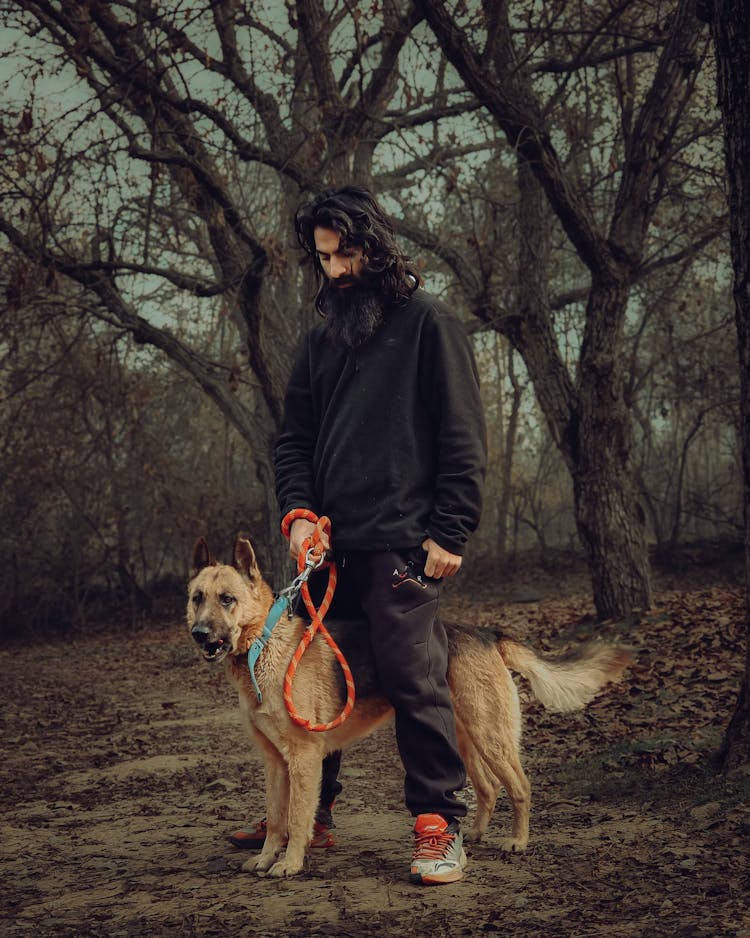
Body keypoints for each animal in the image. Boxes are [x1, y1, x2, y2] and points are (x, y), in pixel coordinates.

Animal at [188, 532, 636, 876]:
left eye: (227, 599)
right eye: (197, 598)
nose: (198, 635)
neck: (263, 646)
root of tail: (486, 633)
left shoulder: (303, 758)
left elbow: (298, 819)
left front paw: (290, 864)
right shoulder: (275, 763)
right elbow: (277, 820)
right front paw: (266, 858)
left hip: (490, 736)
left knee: (520, 786)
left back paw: (517, 841)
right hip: (465, 740)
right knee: (489, 788)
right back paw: (474, 834)